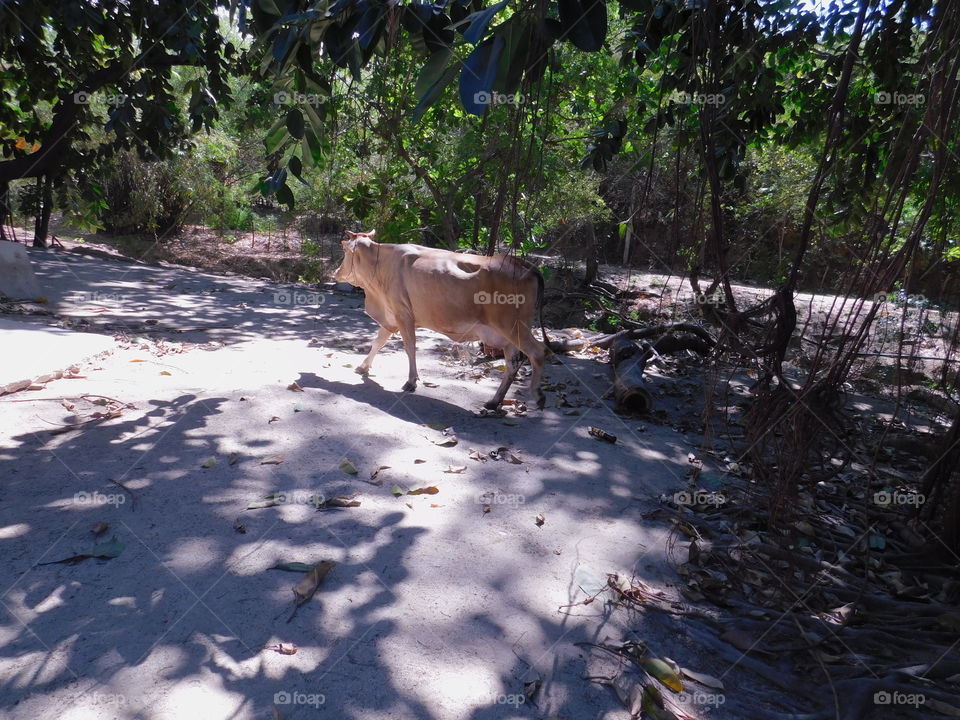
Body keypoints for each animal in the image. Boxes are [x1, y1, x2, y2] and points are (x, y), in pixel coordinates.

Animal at [334, 230, 548, 409]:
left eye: (344, 250)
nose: (336, 272)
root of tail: (522, 264)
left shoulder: (403, 314)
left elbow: (409, 347)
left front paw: (411, 381)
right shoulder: (392, 316)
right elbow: (378, 341)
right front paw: (363, 366)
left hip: (513, 326)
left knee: (537, 352)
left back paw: (537, 396)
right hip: (508, 334)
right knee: (512, 364)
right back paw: (494, 401)